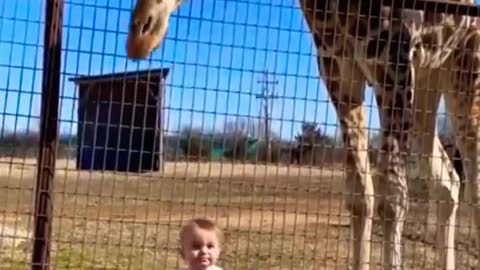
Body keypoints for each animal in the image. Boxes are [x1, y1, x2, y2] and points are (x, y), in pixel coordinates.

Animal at [125, 0, 478, 270]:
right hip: (429, 80)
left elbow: (392, 199)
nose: (139, 35)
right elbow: (360, 197)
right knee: (449, 180)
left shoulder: (393, 65)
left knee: (471, 181)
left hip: (463, 72)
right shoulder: (339, 72)